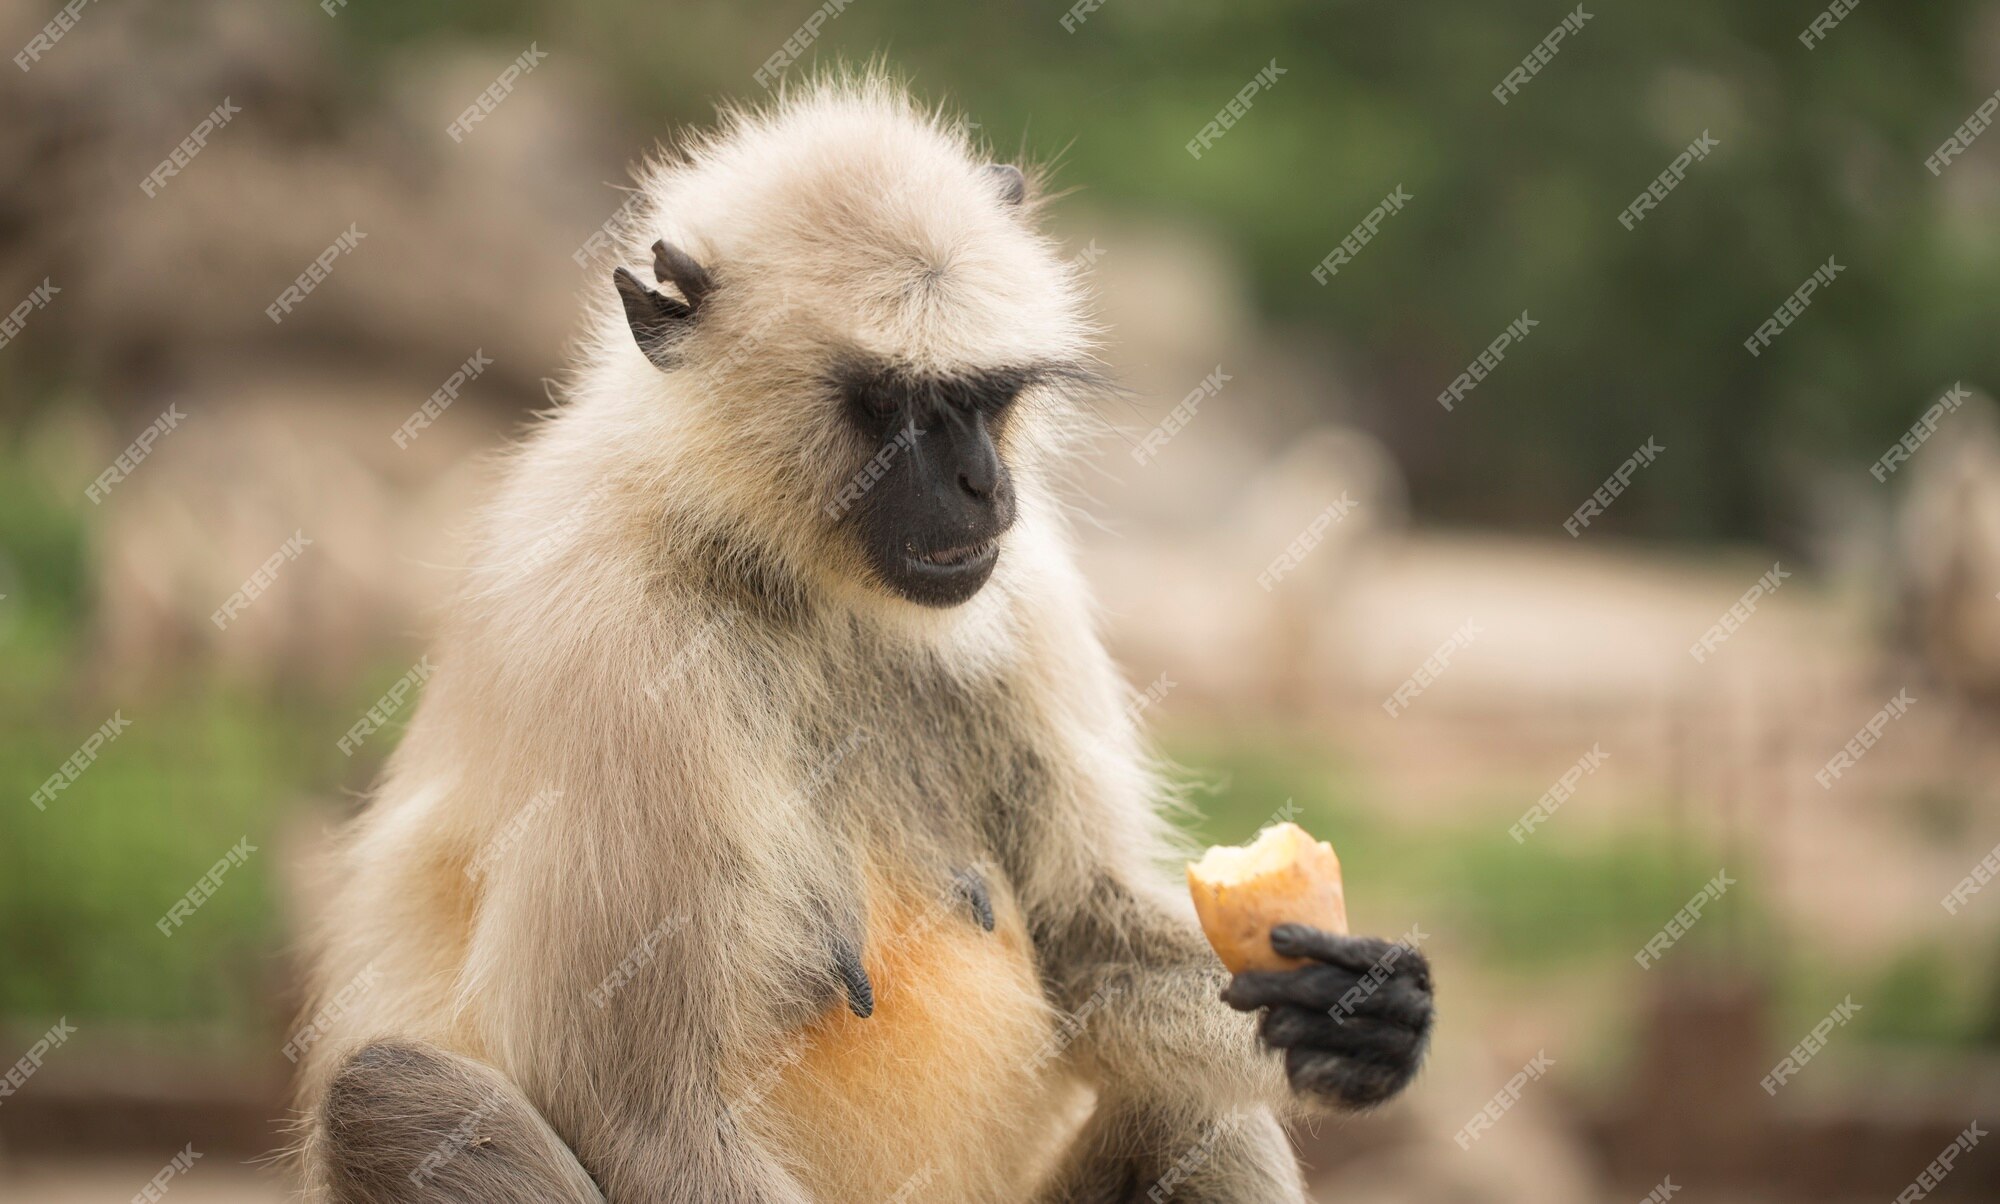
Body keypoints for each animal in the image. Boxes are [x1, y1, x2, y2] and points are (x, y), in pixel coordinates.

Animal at [290, 70, 1432, 1192]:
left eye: (984, 397)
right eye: (894, 409)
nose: (980, 484)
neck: (793, 579)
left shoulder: (1023, 584)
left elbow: (1080, 940)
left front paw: (1357, 1014)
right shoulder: (606, 643)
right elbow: (636, 1106)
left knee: (1198, 1110)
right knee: (396, 1092)